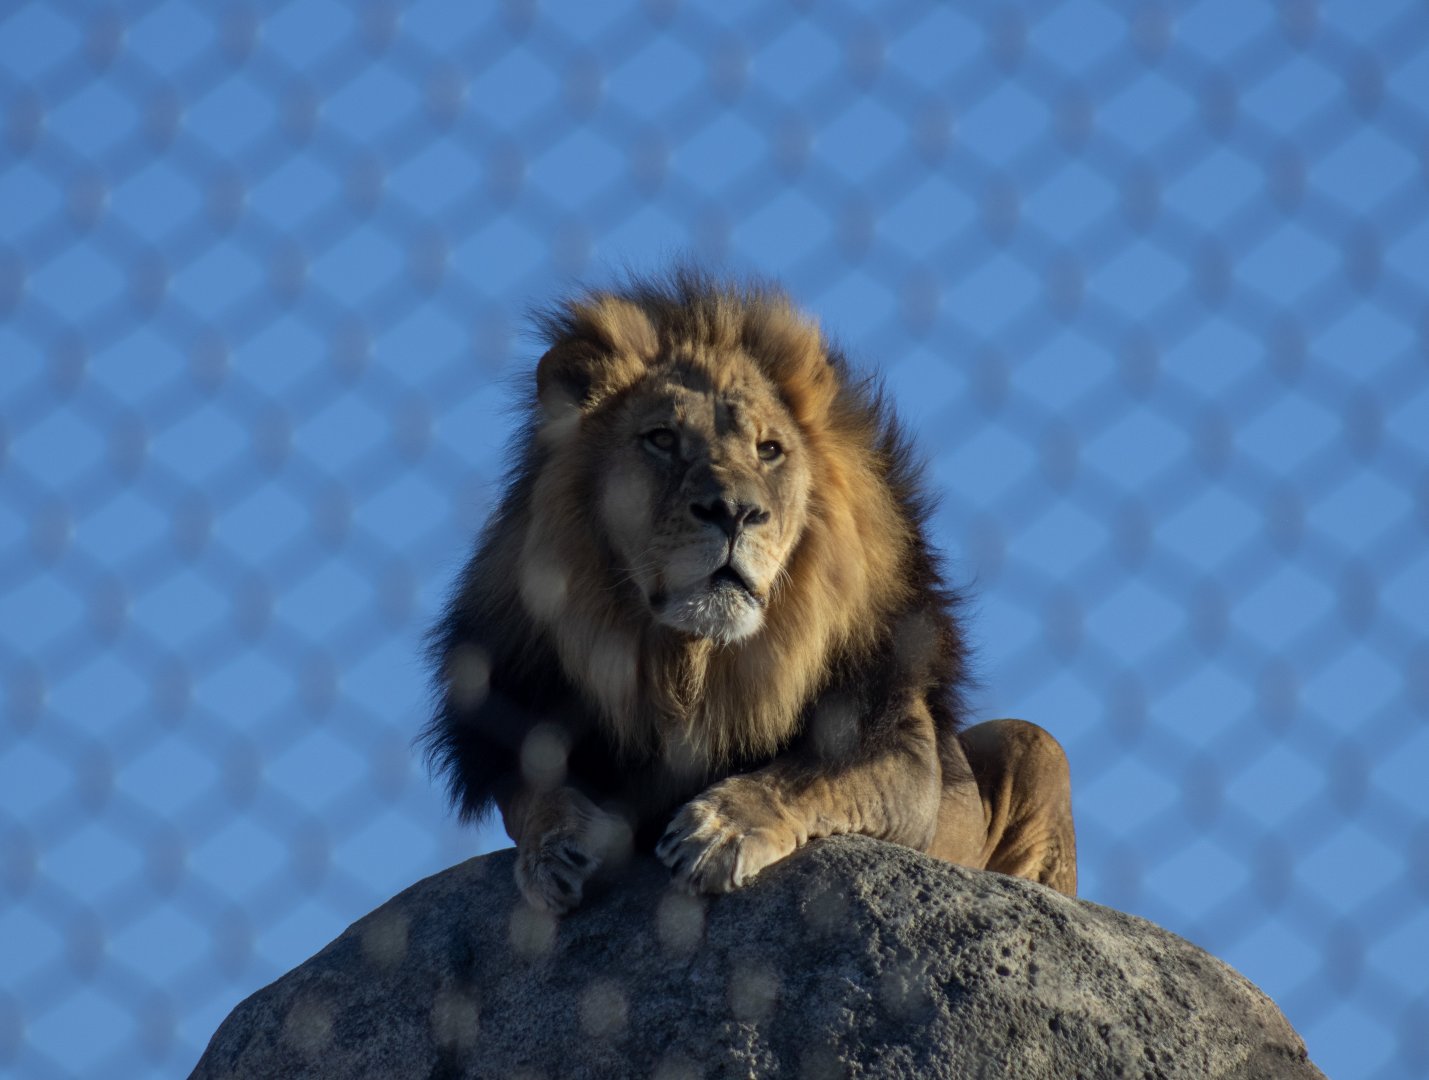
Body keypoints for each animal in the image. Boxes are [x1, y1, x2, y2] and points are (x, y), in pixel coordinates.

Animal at [422, 270, 1076, 913]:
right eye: (661, 439)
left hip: (1034, 747)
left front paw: (721, 829)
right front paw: (557, 848)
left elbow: (808, 774)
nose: (735, 512)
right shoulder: (512, 731)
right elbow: (533, 796)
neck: (692, 667)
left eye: (769, 450)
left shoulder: (902, 749)